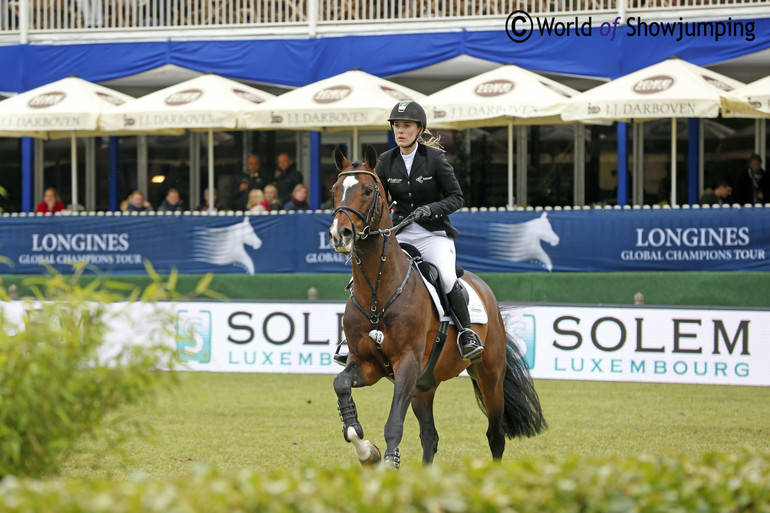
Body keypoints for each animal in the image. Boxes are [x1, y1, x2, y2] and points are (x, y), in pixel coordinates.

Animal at [328, 145, 544, 468]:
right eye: (334, 190)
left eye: (367, 190)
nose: (339, 234)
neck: (378, 293)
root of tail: (485, 290)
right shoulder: (366, 364)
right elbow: (341, 385)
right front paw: (367, 451)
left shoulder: (407, 362)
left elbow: (394, 425)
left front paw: (387, 461)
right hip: (424, 385)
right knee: (430, 436)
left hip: (489, 376)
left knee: (495, 434)